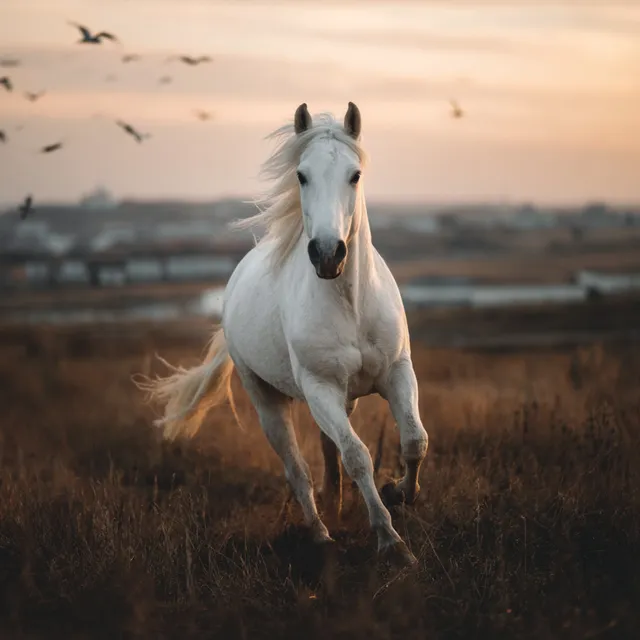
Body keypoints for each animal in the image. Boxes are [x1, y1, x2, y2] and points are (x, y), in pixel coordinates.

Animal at [135, 102, 429, 567]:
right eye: (301, 175)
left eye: (355, 175)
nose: (327, 254)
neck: (351, 303)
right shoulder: (320, 388)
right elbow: (358, 456)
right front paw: (391, 541)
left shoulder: (398, 372)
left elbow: (415, 441)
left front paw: (400, 494)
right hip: (268, 400)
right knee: (298, 467)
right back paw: (321, 534)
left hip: (342, 398)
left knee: (330, 450)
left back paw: (336, 506)